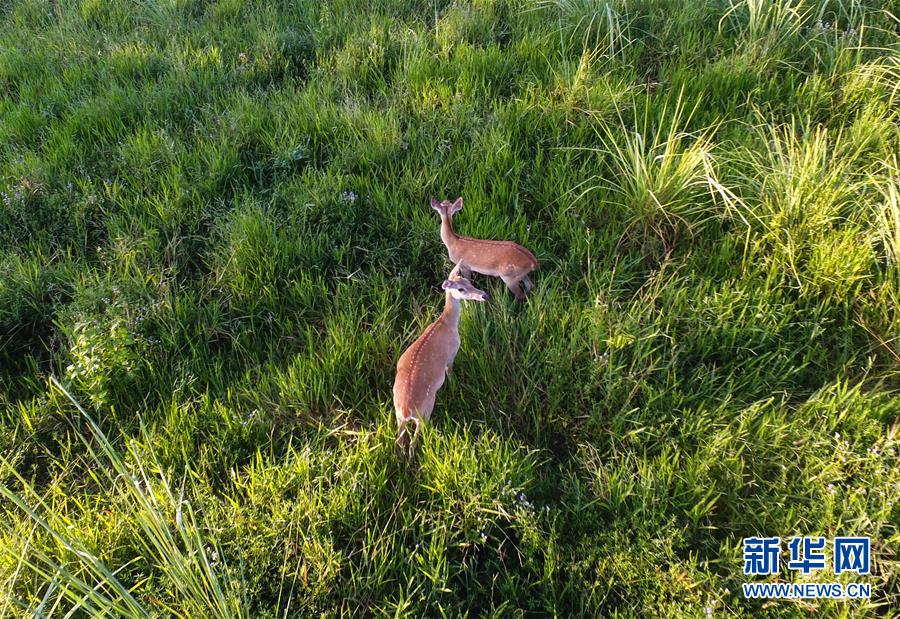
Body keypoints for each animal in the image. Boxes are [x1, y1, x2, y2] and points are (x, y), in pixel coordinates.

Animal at [396, 264, 492, 458]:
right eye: (461, 289)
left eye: (469, 281)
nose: (484, 295)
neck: (447, 323)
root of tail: (406, 409)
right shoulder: (451, 354)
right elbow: (450, 372)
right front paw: (455, 386)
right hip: (424, 409)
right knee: (414, 440)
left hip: (397, 415)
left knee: (401, 439)